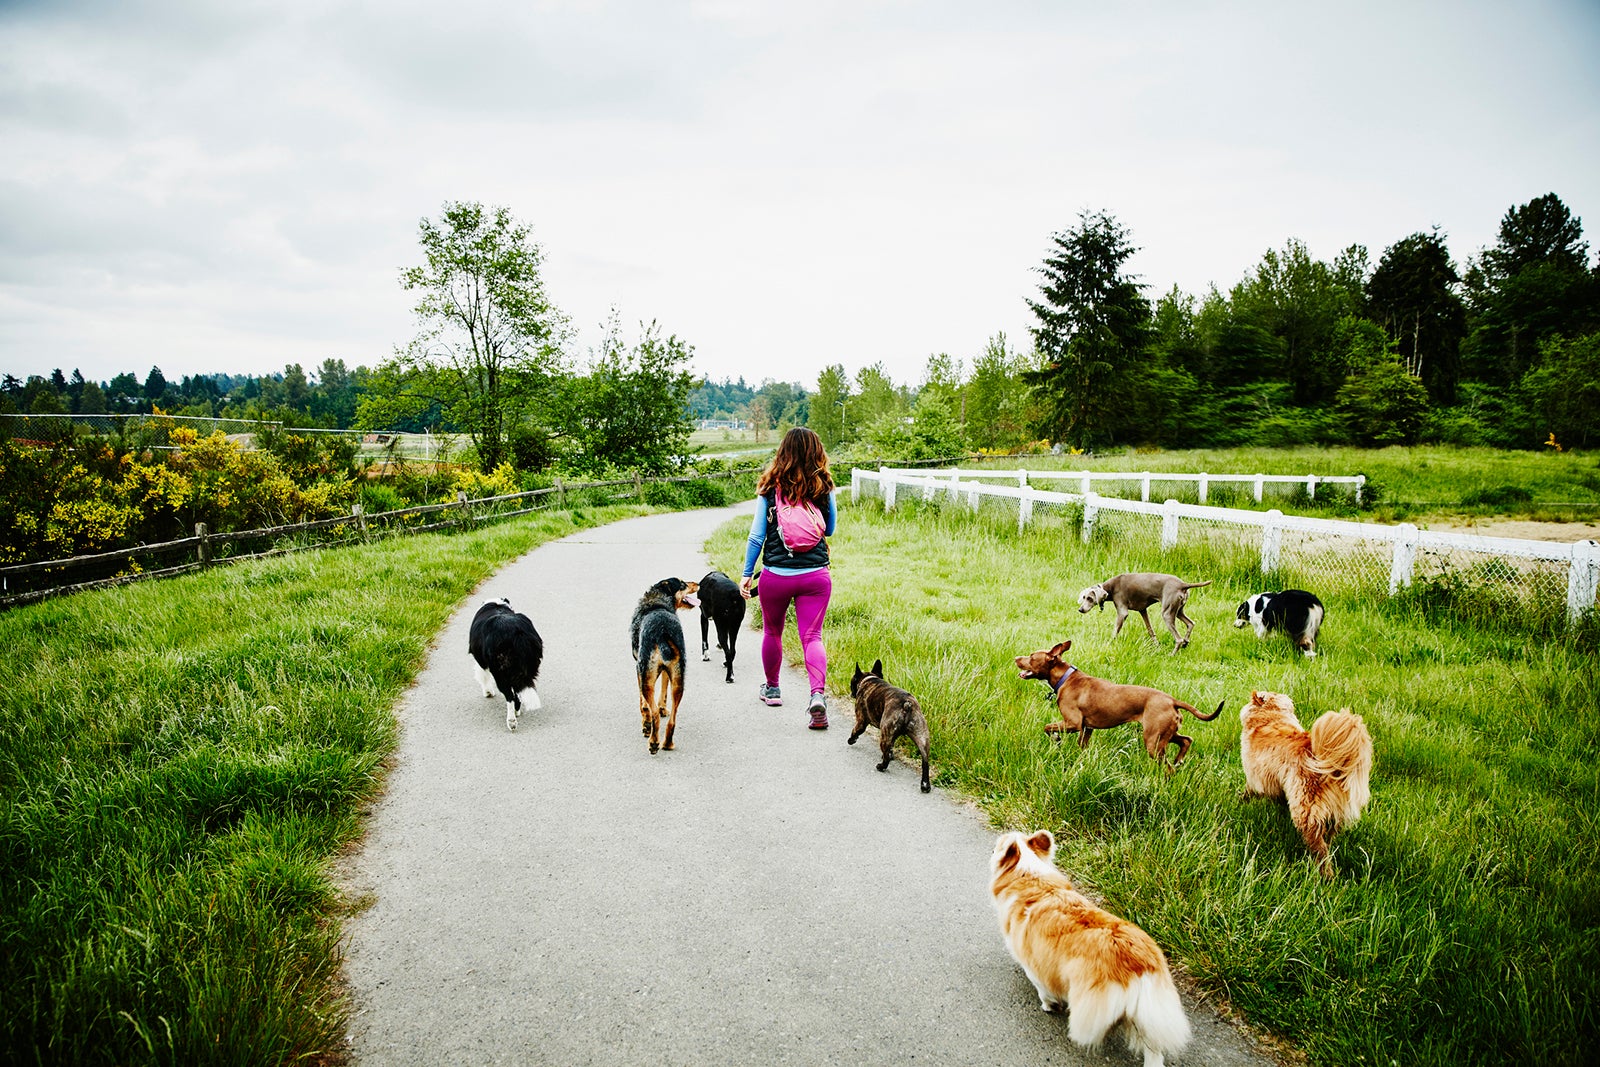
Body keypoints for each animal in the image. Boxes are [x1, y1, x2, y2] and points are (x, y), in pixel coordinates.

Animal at [467, 598, 544, 729]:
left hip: (499, 672)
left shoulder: (481, 661)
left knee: (510, 696)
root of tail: (517, 633)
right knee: (518, 692)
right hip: (528, 667)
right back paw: (516, 712)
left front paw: (488, 692)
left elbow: (482, 676)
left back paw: (511, 721)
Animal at [627, 579, 697, 755]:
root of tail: (663, 631)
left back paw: (652, 741)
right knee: (672, 720)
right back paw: (667, 743)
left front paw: (646, 724)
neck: (659, 600)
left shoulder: (639, 670)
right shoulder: (667, 671)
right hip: (679, 681)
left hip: (646, 677)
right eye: (683, 584)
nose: (698, 583)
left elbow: (643, 705)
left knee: (654, 714)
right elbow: (664, 690)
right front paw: (663, 708)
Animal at [844, 659, 934, 793]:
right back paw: (925, 785)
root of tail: (907, 705)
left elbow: (855, 731)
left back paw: (881, 766)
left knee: (886, 758)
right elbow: (892, 746)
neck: (869, 679)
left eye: (852, 682)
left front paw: (851, 740)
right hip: (921, 735)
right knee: (925, 761)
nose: (851, 693)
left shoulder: (861, 721)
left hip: (885, 735)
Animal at [1011, 639, 1222, 771]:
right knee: (1186, 740)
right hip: (1165, 734)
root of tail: (1171, 700)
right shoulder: (1086, 728)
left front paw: (1056, 739)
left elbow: (1047, 727)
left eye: (1031, 656)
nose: (1015, 658)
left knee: (1168, 767)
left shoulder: (1073, 723)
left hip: (1153, 741)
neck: (1065, 678)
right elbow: (1082, 746)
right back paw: (1179, 760)